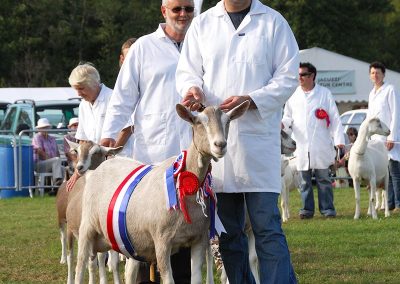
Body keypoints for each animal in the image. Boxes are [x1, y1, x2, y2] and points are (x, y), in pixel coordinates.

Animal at [73, 102, 248, 284]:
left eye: (228, 121)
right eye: (198, 122)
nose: (220, 145)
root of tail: (101, 166)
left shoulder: (198, 239)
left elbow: (196, 278)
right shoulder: (162, 241)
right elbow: (168, 279)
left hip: (129, 241)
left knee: (129, 272)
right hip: (87, 229)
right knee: (80, 267)